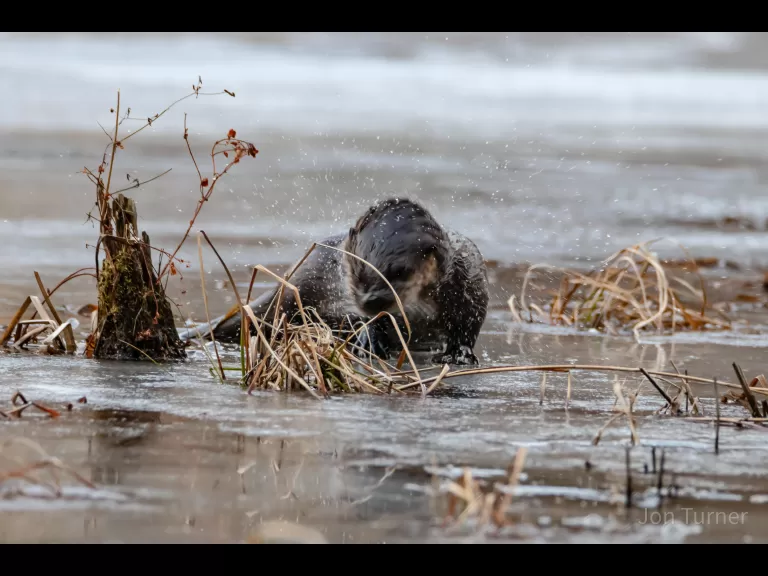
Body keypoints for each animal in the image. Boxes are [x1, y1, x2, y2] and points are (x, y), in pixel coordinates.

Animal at [180, 198, 489, 365]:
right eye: (357, 270)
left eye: (399, 272)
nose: (372, 299)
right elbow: (368, 320)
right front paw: (370, 340)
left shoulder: (472, 284)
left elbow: (468, 328)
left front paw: (460, 354)